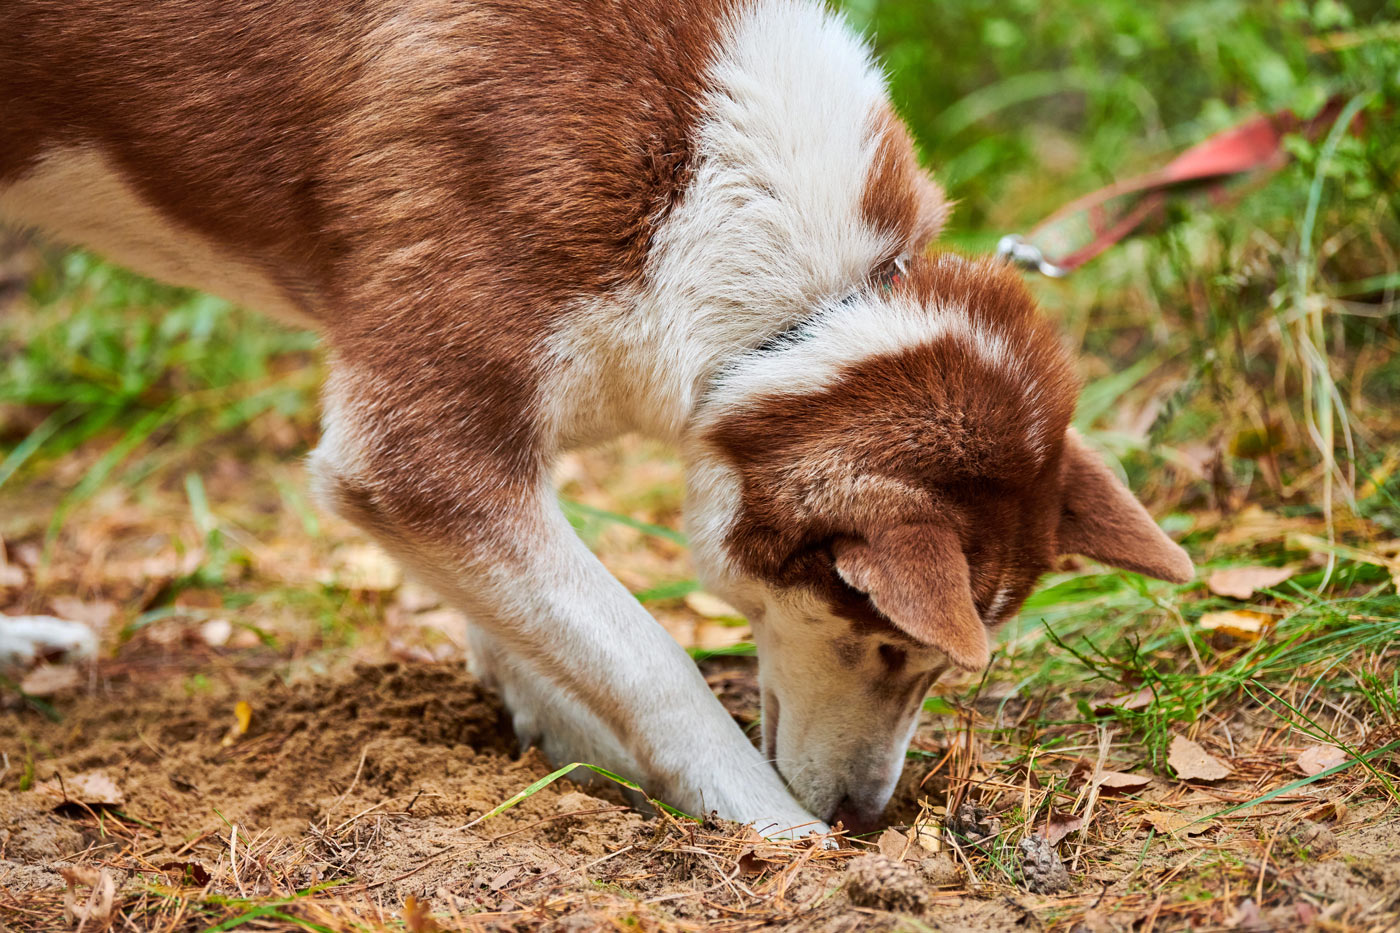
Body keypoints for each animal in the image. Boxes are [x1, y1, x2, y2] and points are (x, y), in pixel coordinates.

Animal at [0, 0, 1192, 829]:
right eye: (886, 643)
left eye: (929, 663)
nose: (862, 819)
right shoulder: (414, 449)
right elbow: (647, 659)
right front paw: (767, 828)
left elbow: (546, 626)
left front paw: (559, 734)